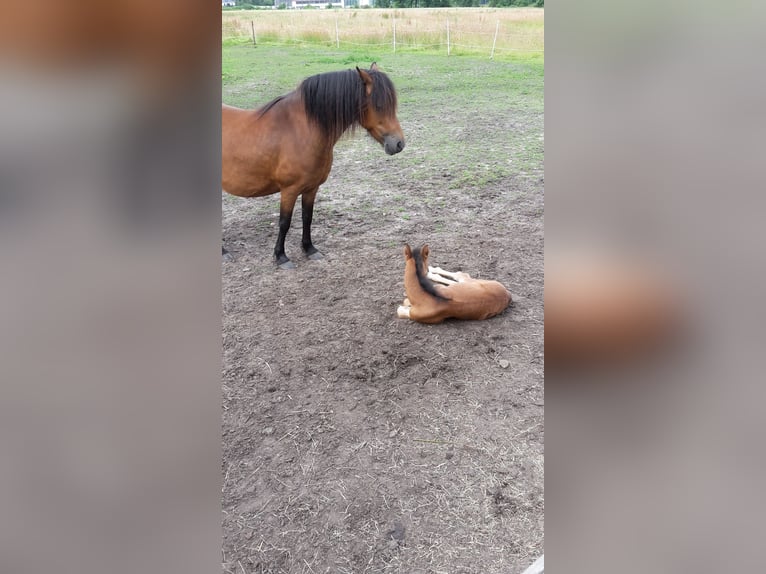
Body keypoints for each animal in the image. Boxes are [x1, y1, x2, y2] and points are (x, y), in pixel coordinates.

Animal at [220, 63, 404, 270]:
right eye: (379, 105)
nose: (399, 144)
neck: (301, 130)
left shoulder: (311, 188)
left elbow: (307, 217)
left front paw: (309, 249)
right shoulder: (289, 190)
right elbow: (284, 222)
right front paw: (281, 256)